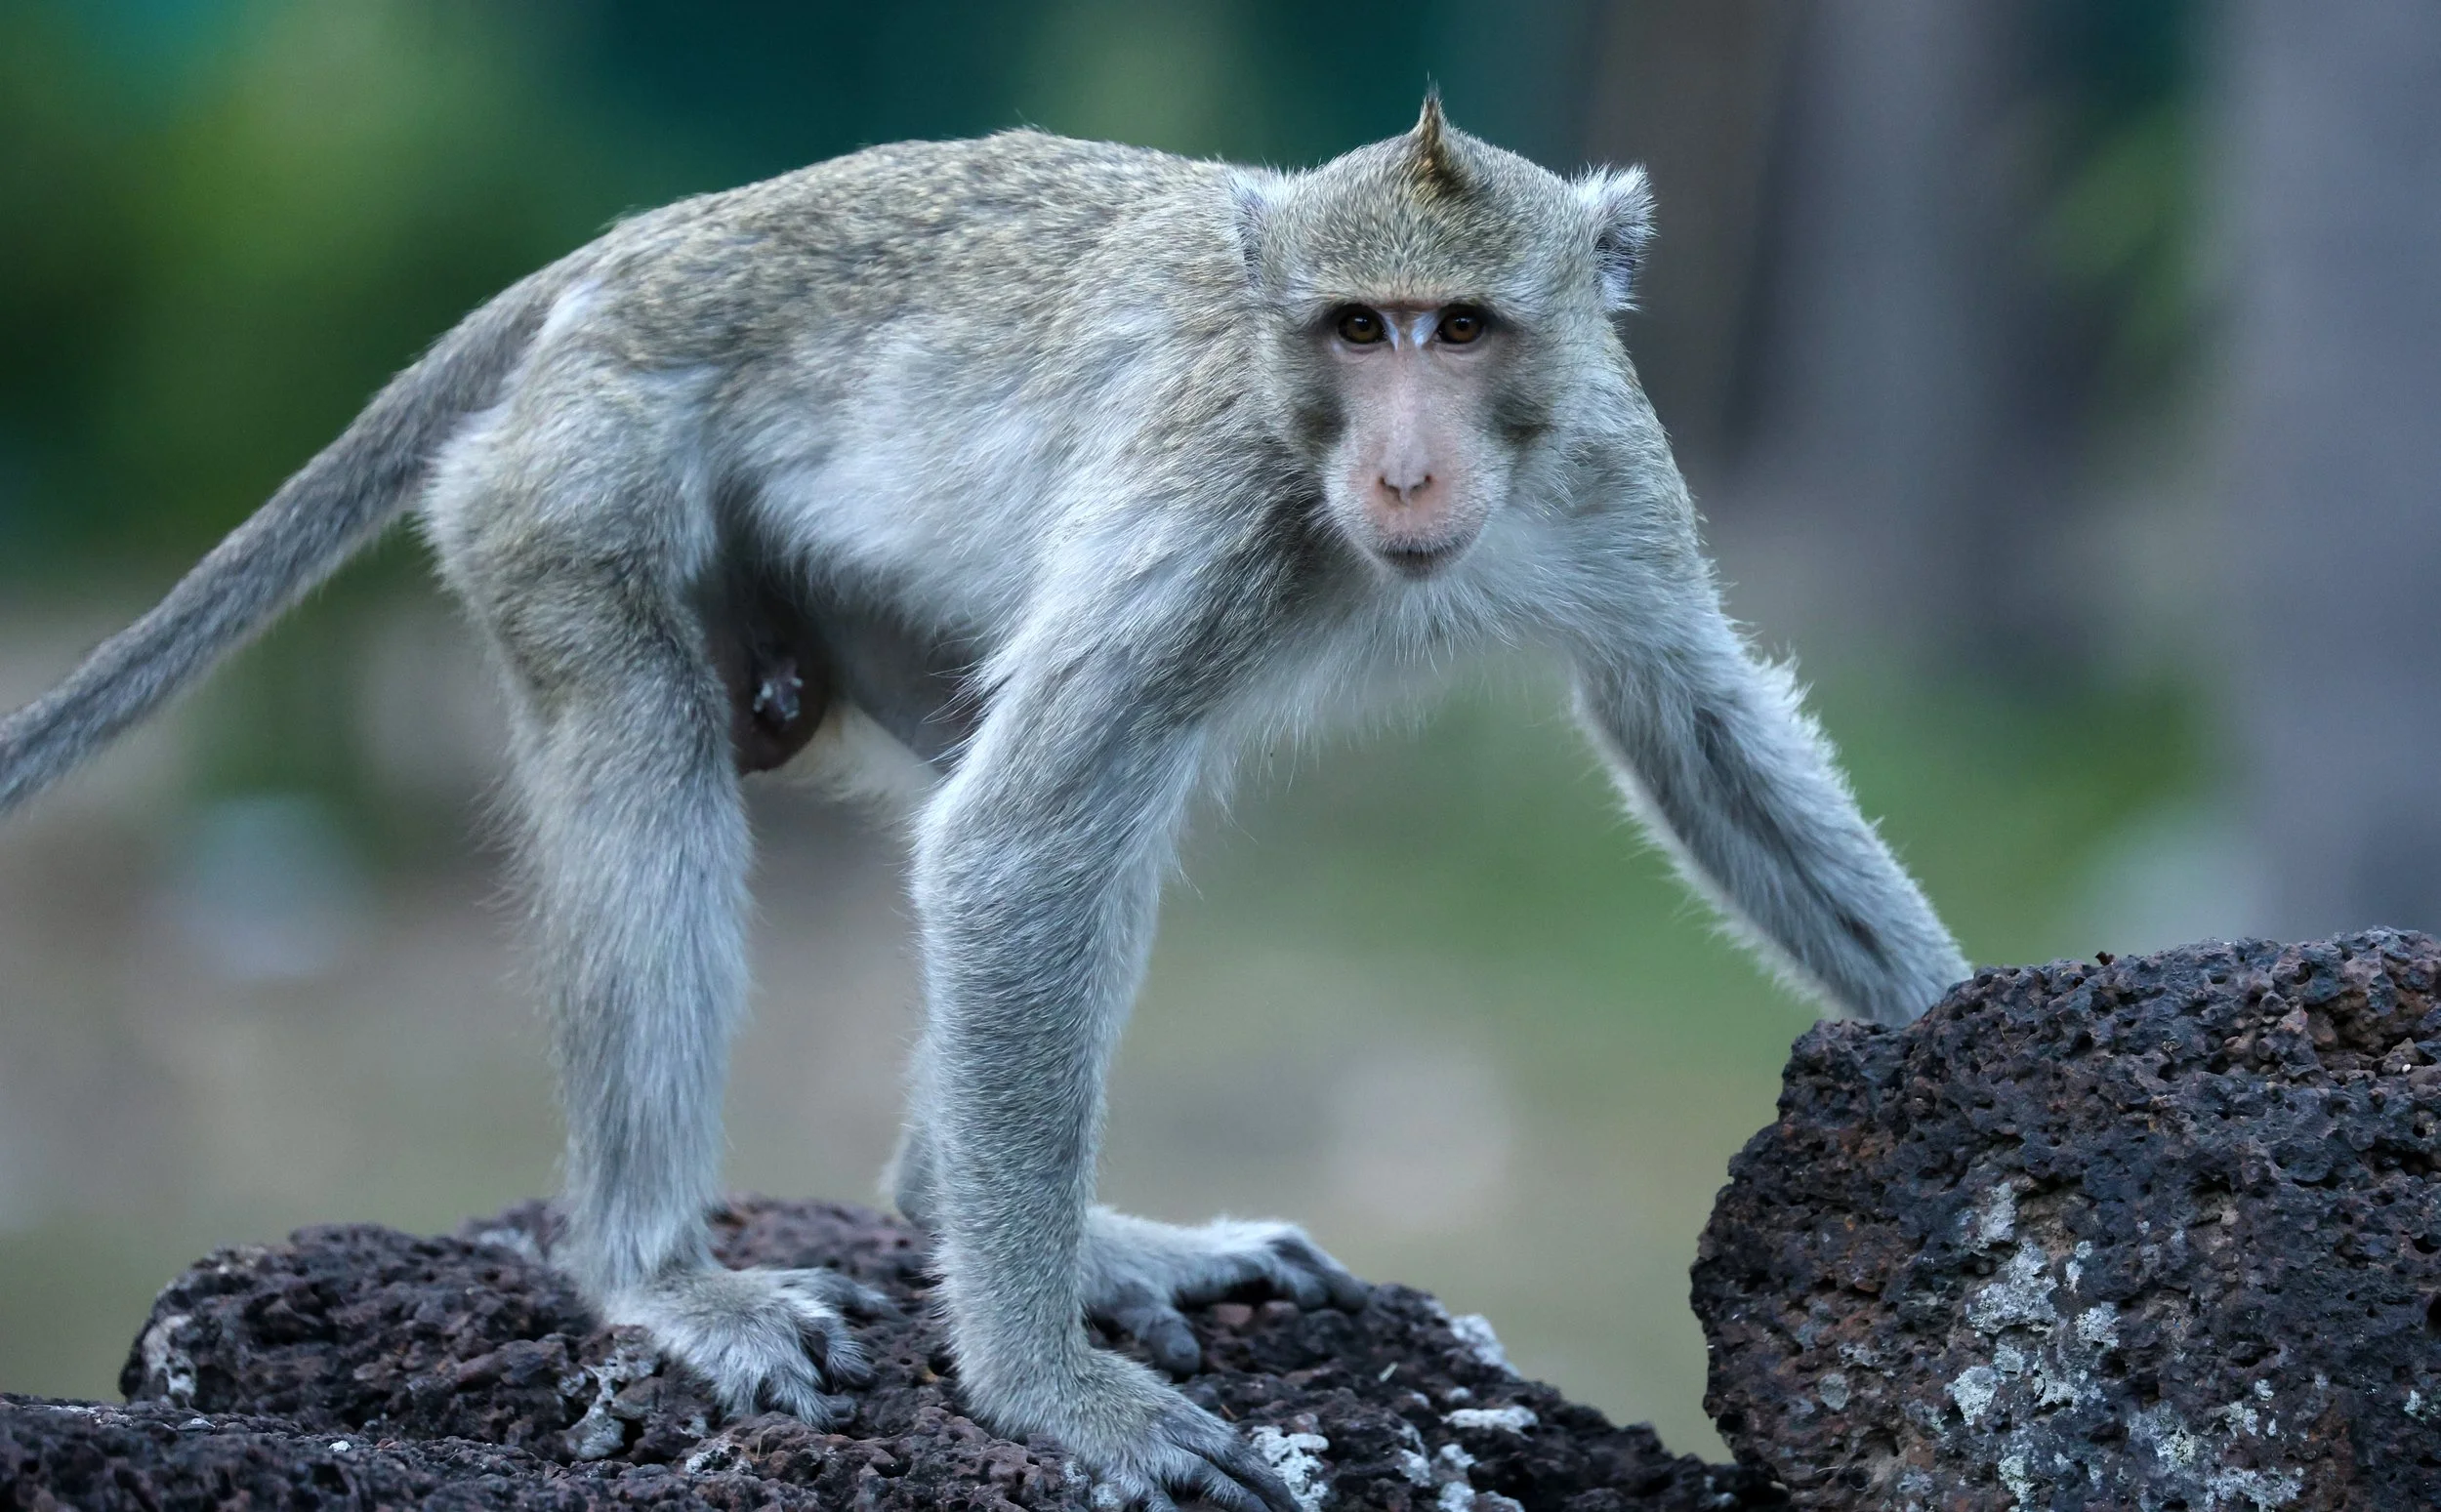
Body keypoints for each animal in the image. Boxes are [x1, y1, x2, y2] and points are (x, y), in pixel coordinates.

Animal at [0, 99, 1970, 1512]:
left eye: (1464, 330)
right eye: (1360, 329)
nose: (1408, 469)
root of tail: (638, 247)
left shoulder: (1608, 467)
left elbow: (1692, 719)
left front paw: (1954, 1021)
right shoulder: (1223, 500)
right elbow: (1017, 846)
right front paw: (1047, 1396)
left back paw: (966, 1206)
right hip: (567, 489)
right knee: (663, 758)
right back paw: (658, 1266)